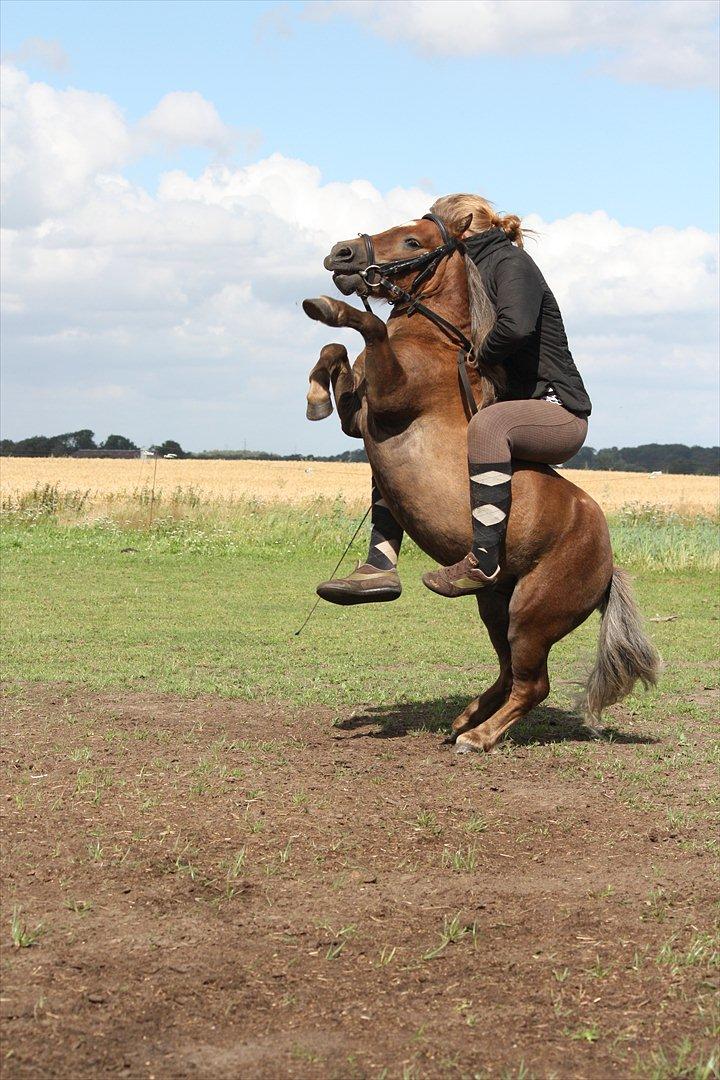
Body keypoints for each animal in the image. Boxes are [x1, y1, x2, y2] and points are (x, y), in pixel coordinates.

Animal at [302, 210, 660, 751]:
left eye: (413, 240)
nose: (341, 253)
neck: (435, 340)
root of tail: (608, 564)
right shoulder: (358, 416)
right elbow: (333, 351)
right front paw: (315, 395)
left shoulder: (388, 397)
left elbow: (368, 327)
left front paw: (328, 308)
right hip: (496, 605)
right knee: (509, 673)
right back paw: (463, 718)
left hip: (533, 615)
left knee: (532, 683)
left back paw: (480, 736)